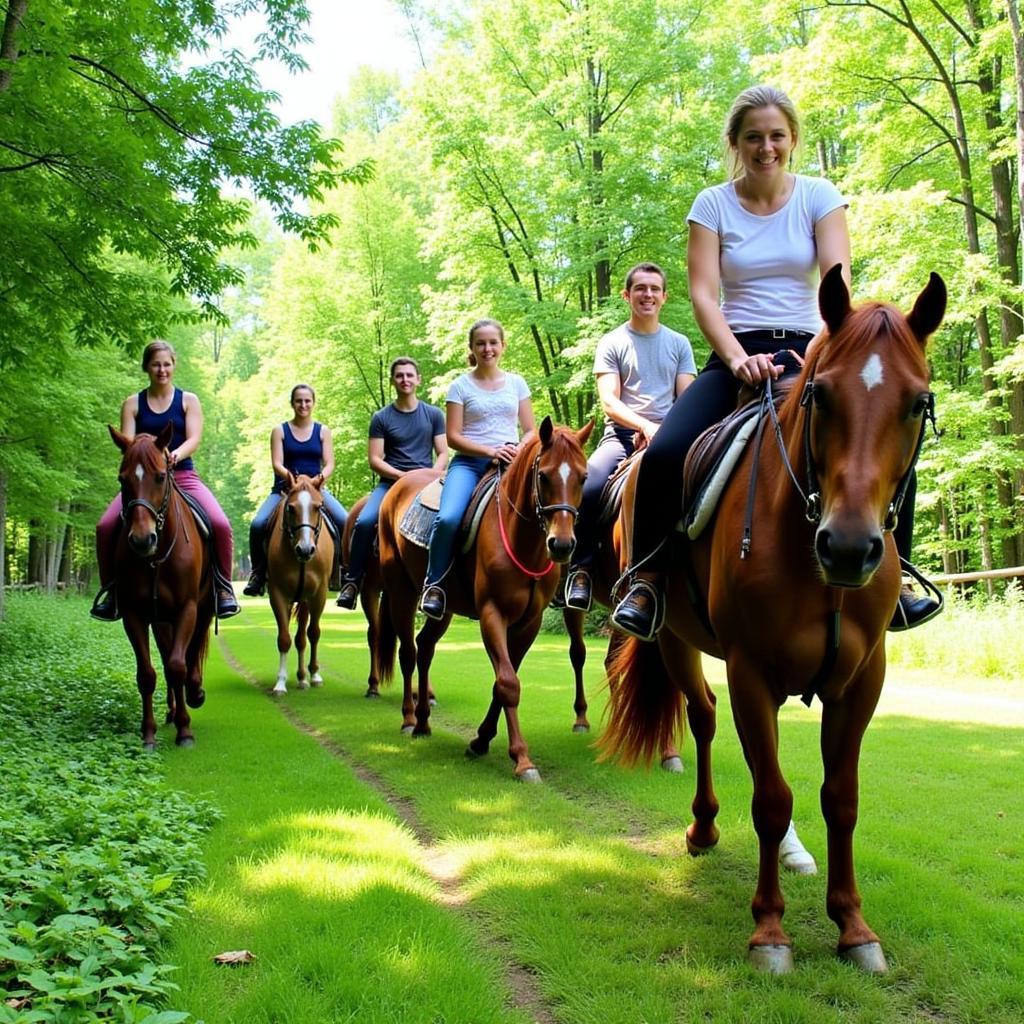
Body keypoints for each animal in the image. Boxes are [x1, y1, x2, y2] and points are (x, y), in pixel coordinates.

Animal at [109, 423, 212, 753]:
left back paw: (194, 693)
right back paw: (171, 710)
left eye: (160, 476)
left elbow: (179, 666)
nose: (143, 539)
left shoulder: (187, 609)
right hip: (160, 621)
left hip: (203, 608)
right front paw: (149, 733)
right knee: (167, 659)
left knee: (191, 653)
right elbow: (148, 674)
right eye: (122, 479)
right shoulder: (135, 614)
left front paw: (185, 730)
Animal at [264, 471, 331, 696]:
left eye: (318, 507)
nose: (305, 549)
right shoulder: (277, 593)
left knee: (303, 637)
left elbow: (314, 633)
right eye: (291, 508)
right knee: (298, 637)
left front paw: (315, 675)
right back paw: (300, 678)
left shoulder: (319, 594)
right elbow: (284, 638)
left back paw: (304, 677)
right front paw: (280, 683)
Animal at [376, 413, 593, 774]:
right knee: (407, 652)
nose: (562, 544)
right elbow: (508, 683)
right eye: (544, 476)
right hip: (400, 592)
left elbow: (503, 680)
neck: (524, 542)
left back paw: (423, 721)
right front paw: (521, 757)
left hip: (444, 608)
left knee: (424, 648)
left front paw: (481, 740)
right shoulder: (493, 614)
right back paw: (408, 719)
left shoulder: (528, 622)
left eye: (583, 477)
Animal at [598, 266, 942, 974]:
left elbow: (840, 797)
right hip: (674, 639)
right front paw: (770, 930)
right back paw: (704, 826)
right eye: (822, 395)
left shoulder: (862, 681)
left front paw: (853, 925)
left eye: (916, 402)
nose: (848, 547)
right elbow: (770, 796)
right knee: (702, 717)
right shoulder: (751, 673)